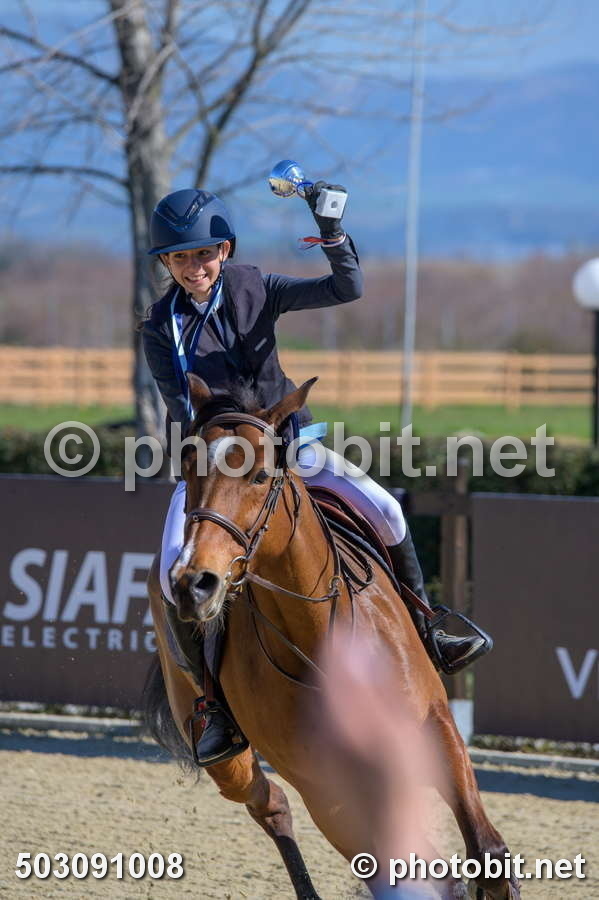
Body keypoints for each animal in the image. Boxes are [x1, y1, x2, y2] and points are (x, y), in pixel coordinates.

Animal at [144, 373, 520, 900]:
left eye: (260, 476)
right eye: (190, 469)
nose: (193, 584)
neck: (317, 634)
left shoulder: (431, 724)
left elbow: (487, 852)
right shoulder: (324, 783)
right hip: (230, 757)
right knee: (272, 805)